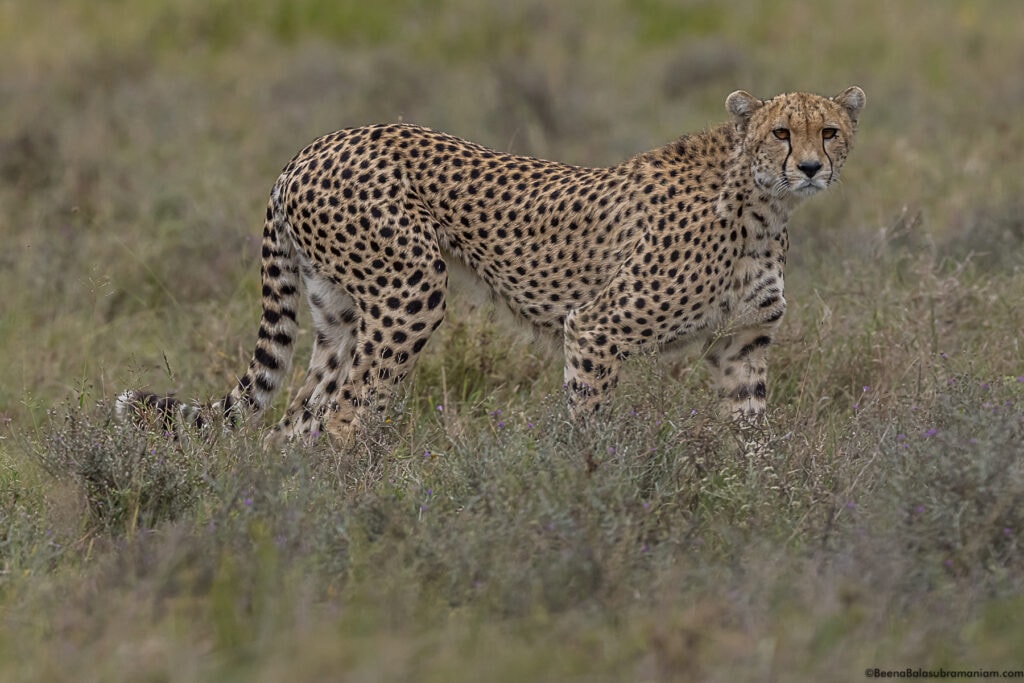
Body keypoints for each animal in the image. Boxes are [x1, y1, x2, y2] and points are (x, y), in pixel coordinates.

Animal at [121, 87, 872, 444]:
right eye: (782, 132)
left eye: (830, 131)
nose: (811, 167)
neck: (762, 206)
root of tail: (314, 146)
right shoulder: (595, 328)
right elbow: (590, 424)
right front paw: (597, 487)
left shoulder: (740, 345)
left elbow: (752, 436)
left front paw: (759, 506)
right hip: (409, 290)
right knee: (343, 419)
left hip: (338, 313)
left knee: (295, 427)